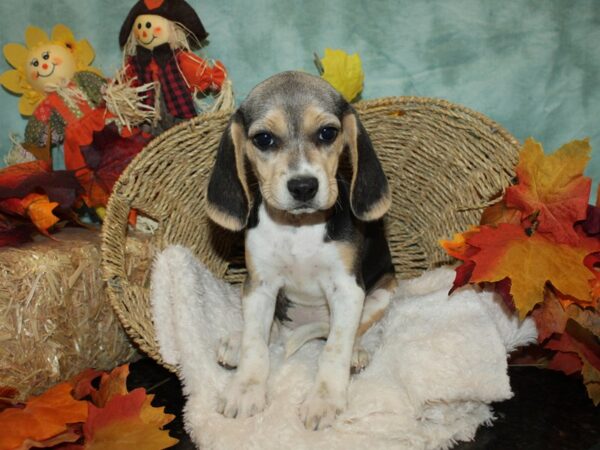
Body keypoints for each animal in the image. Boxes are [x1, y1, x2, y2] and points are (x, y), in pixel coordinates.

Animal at [206, 72, 398, 430]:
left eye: (327, 133)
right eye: (264, 139)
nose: (303, 186)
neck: (298, 228)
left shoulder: (347, 289)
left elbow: (335, 348)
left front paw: (324, 399)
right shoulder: (260, 286)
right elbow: (256, 343)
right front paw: (246, 387)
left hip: (383, 292)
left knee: (353, 331)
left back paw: (356, 352)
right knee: (266, 332)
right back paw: (237, 342)